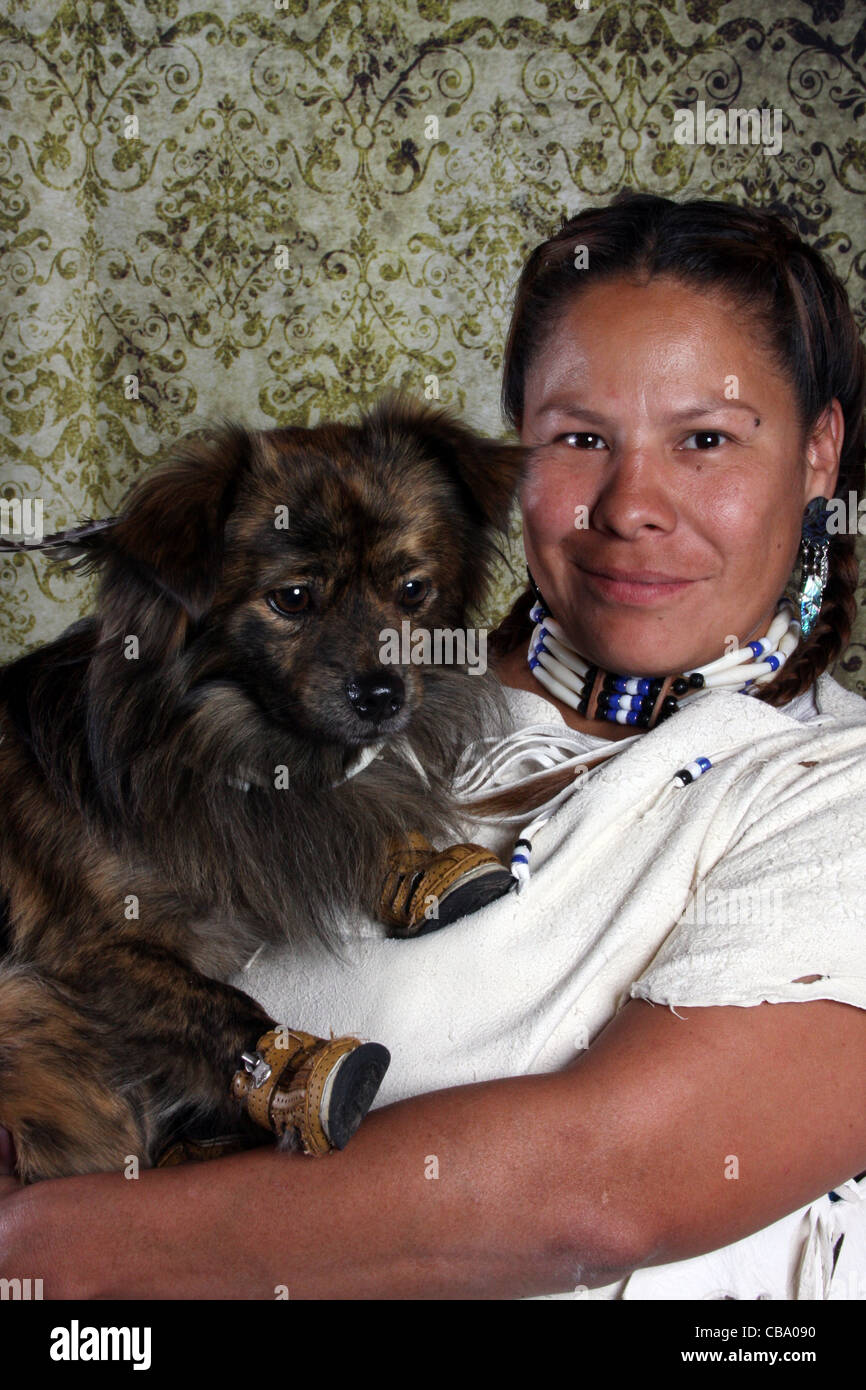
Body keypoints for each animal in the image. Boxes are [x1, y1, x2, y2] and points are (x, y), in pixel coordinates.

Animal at [0, 394, 525, 1184]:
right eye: (294, 599)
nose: (382, 693)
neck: (241, 743)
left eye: (412, 591)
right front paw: (305, 1074)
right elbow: (217, 1003)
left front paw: (422, 869)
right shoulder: (87, 952)